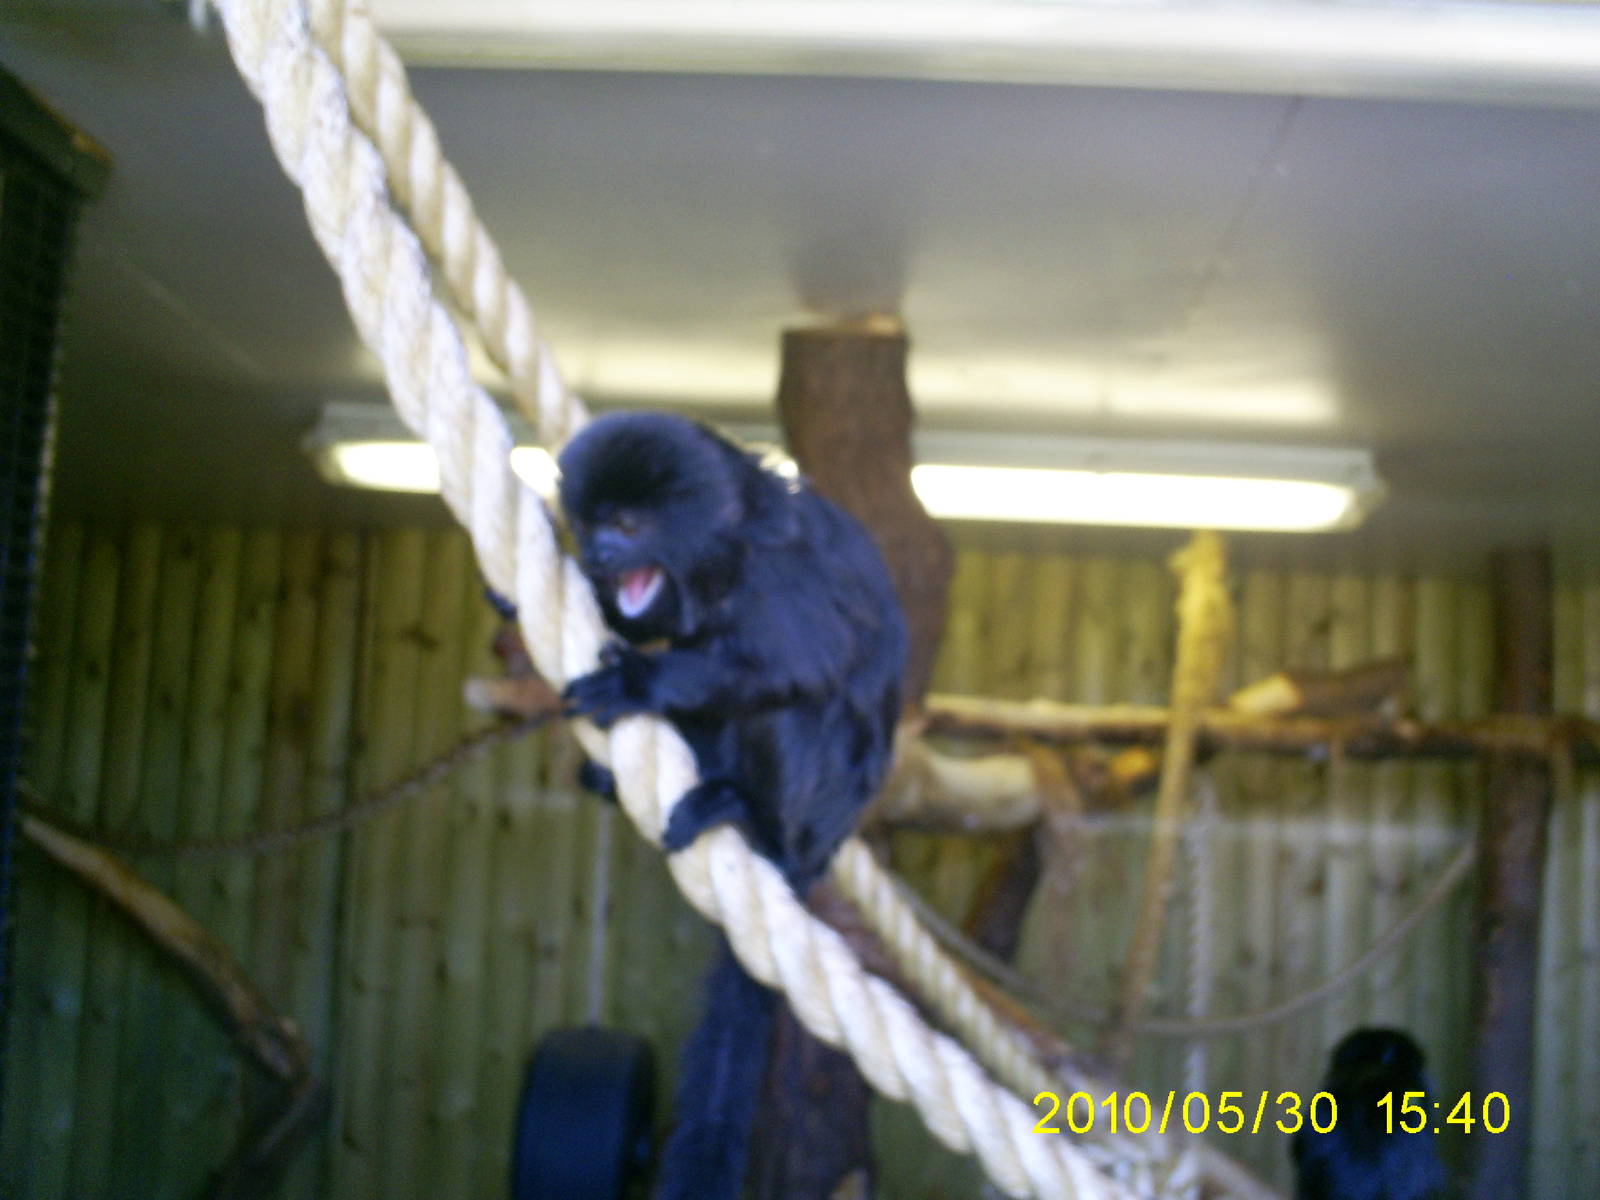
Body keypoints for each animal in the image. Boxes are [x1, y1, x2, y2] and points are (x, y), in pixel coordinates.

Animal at [557, 411, 908, 1200]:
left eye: (627, 524)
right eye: (591, 522)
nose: (598, 553)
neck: (725, 555)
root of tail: (814, 855)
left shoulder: (783, 577)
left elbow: (799, 662)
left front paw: (641, 682)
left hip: (810, 813)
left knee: (794, 709)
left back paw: (748, 816)